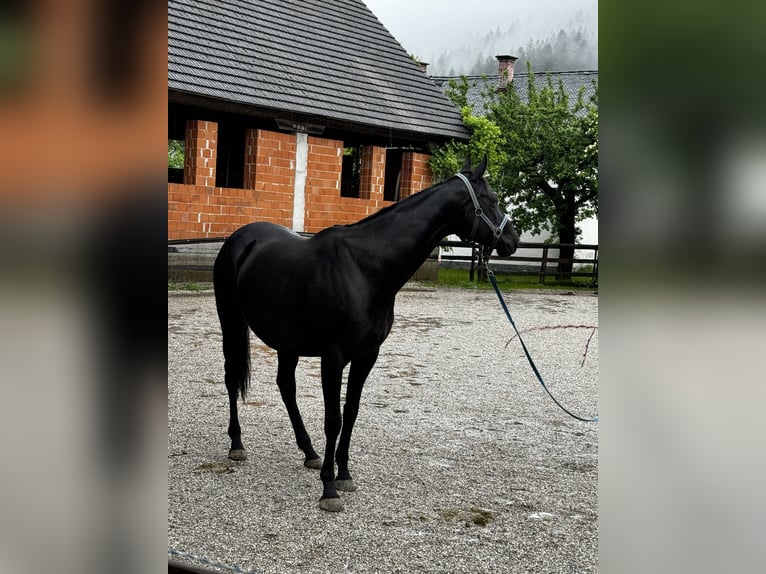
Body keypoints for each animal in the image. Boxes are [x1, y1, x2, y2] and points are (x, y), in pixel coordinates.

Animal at [213, 158, 520, 512]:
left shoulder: (366, 355)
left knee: (286, 387)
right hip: (231, 322)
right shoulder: (333, 357)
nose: (513, 241)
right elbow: (333, 418)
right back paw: (237, 443)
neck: (365, 268)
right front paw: (328, 489)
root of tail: (238, 239)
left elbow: (351, 413)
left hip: (287, 341)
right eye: (492, 199)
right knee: (232, 376)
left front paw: (344, 474)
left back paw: (309, 452)